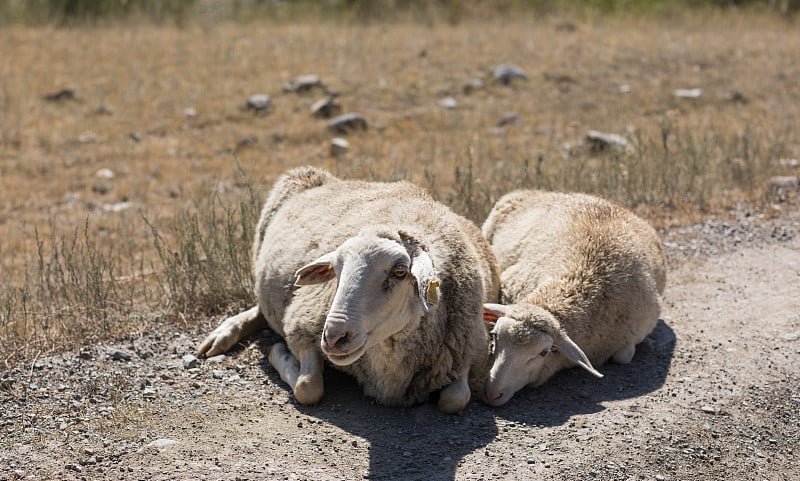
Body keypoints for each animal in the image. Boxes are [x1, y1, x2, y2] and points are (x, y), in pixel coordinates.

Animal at [197, 166, 496, 412]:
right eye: (336, 270)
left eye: (399, 272)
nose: (333, 338)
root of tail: (325, 176)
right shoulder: (301, 325)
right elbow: (307, 387)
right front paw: (277, 353)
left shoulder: (471, 352)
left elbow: (455, 399)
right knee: (260, 307)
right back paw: (223, 335)